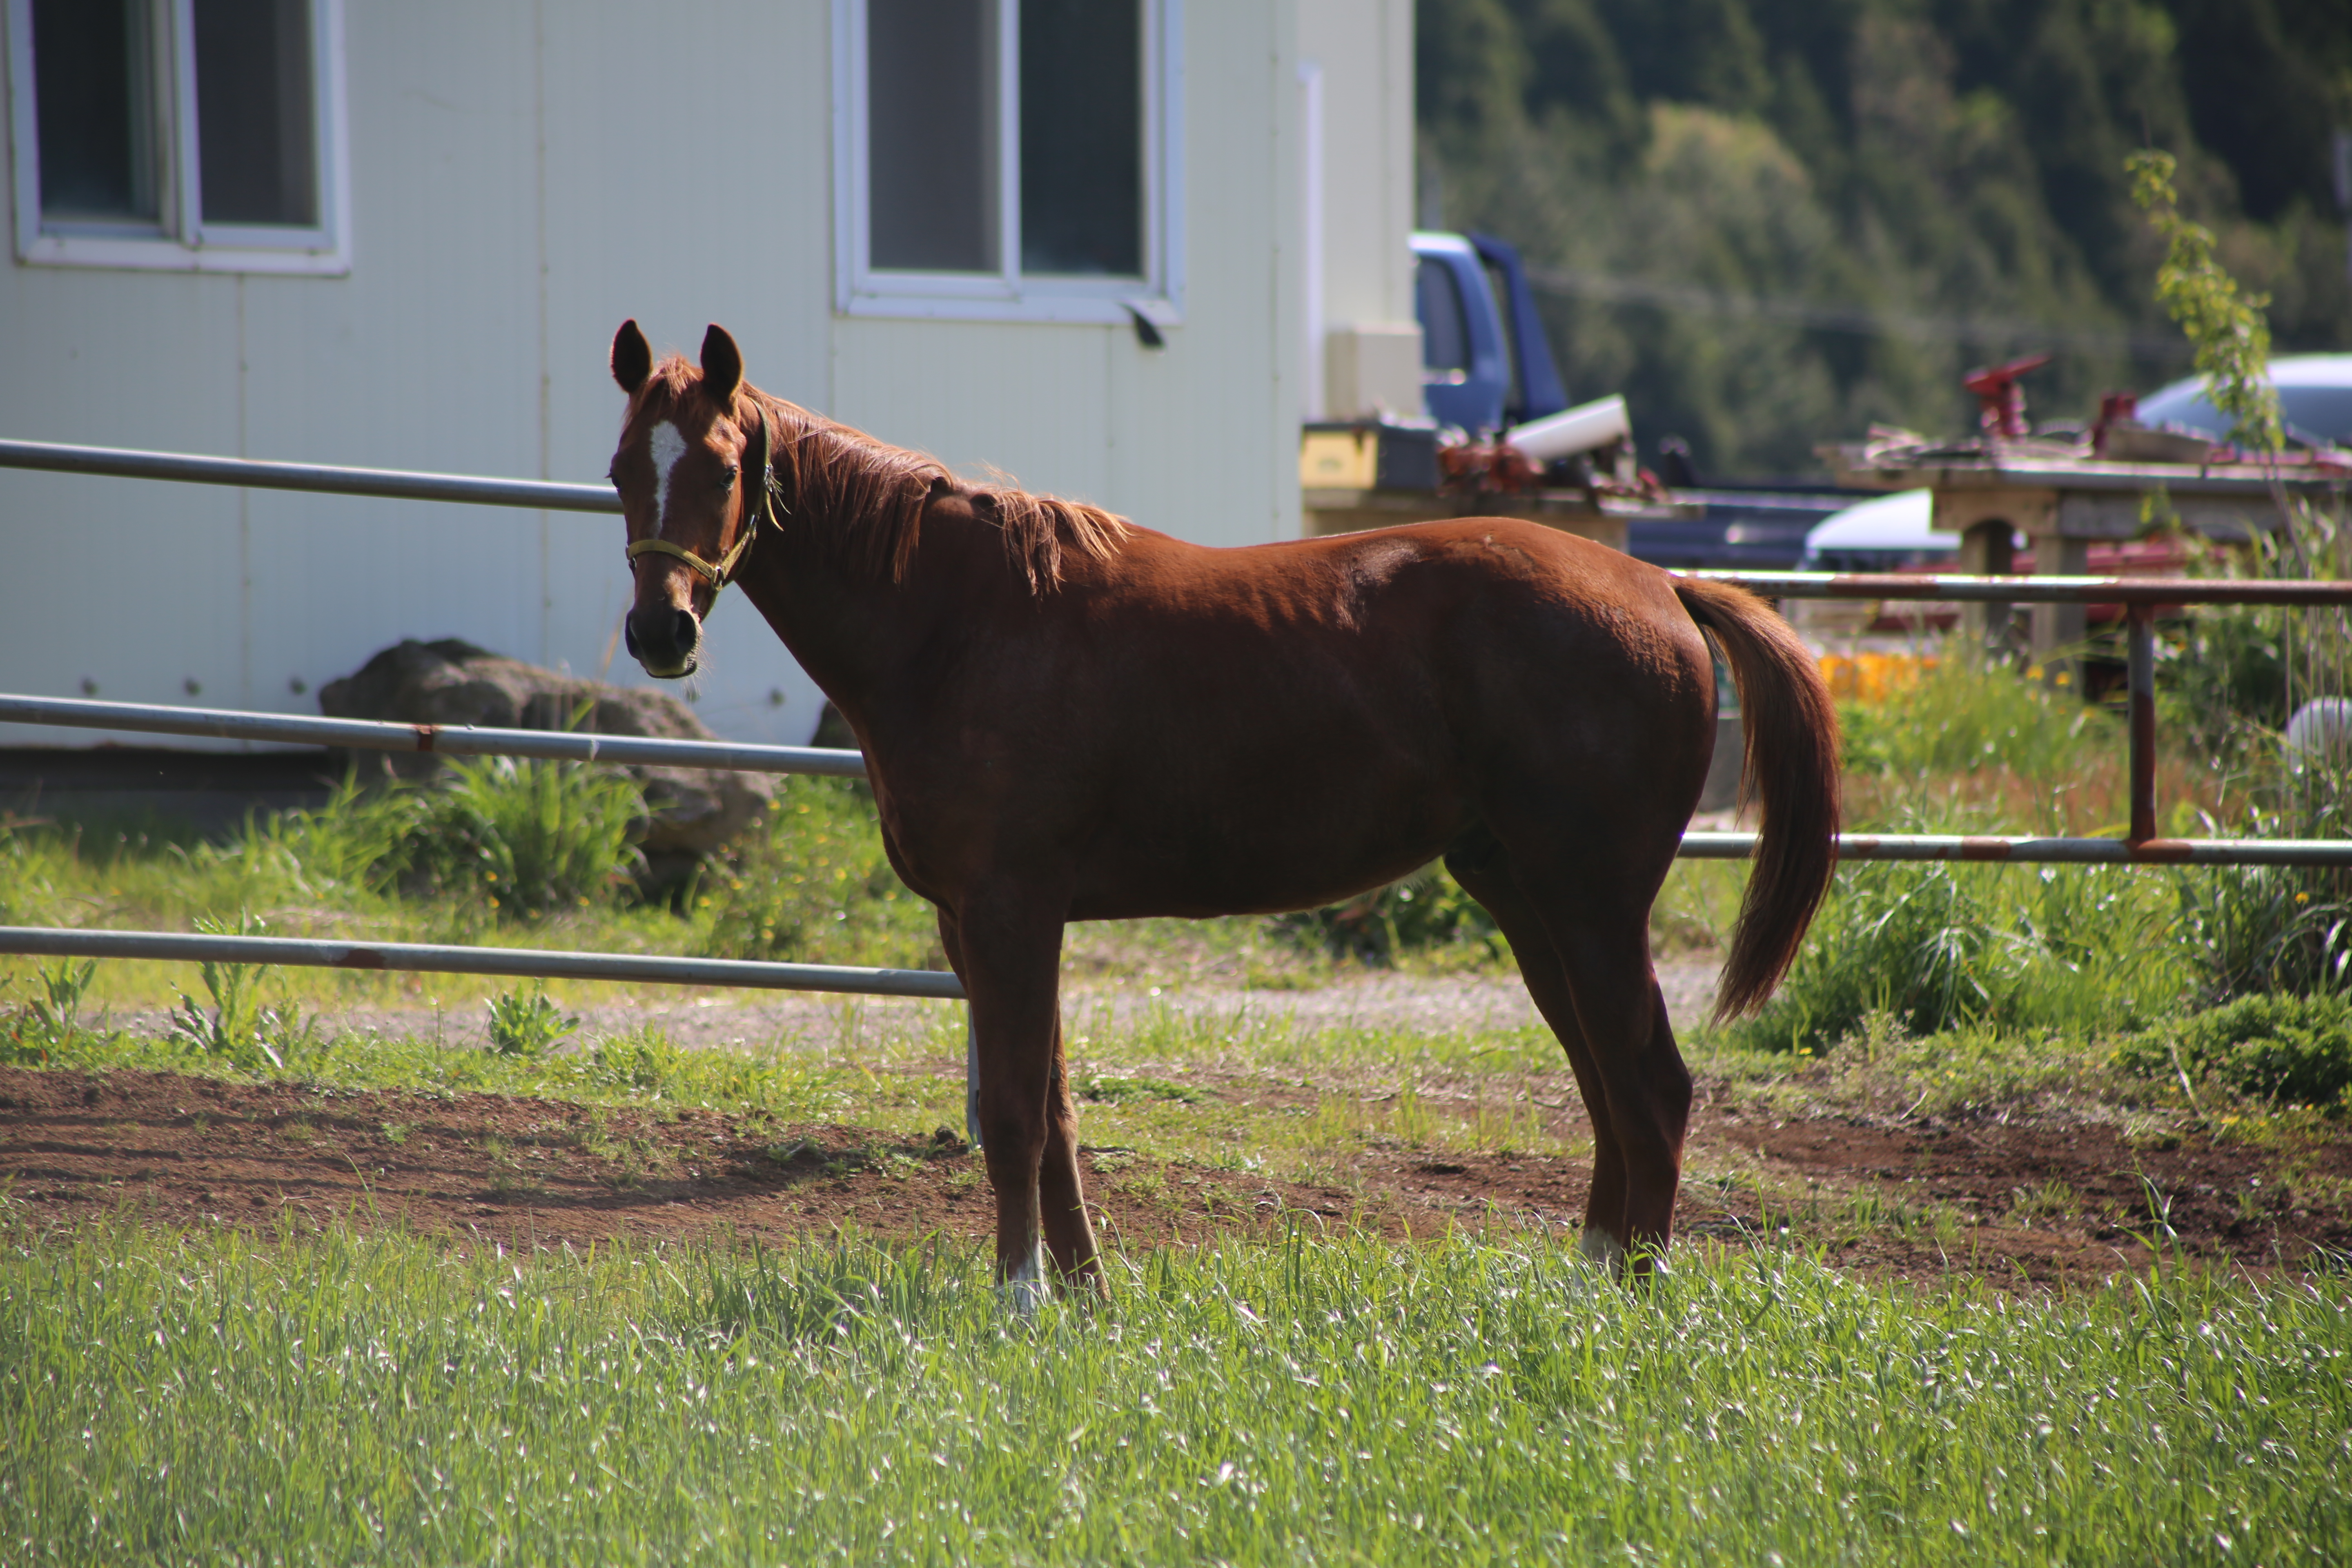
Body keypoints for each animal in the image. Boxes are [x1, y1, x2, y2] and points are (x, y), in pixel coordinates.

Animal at [607, 322, 1834, 1297]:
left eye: (722, 466)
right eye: (622, 466)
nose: (662, 633)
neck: (960, 621)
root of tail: (1660, 586)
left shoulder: (1009, 913)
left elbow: (1012, 1114)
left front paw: (1020, 1299)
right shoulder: (982, 923)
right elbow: (1050, 1111)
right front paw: (1085, 1293)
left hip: (1590, 904)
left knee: (1652, 1087)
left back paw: (1634, 1294)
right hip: (1528, 898)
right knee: (1606, 1087)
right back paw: (1592, 1278)